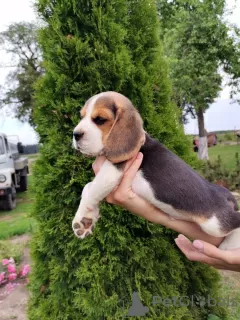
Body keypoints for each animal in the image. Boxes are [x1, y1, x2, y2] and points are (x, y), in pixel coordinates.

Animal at [71, 91, 240, 251]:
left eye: (100, 119)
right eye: (82, 116)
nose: (75, 135)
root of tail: (222, 191)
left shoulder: (112, 170)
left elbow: (92, 190)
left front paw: (81, 218)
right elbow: (87, 187)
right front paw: (87, 220)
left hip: (214, 224)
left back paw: (229, 245)